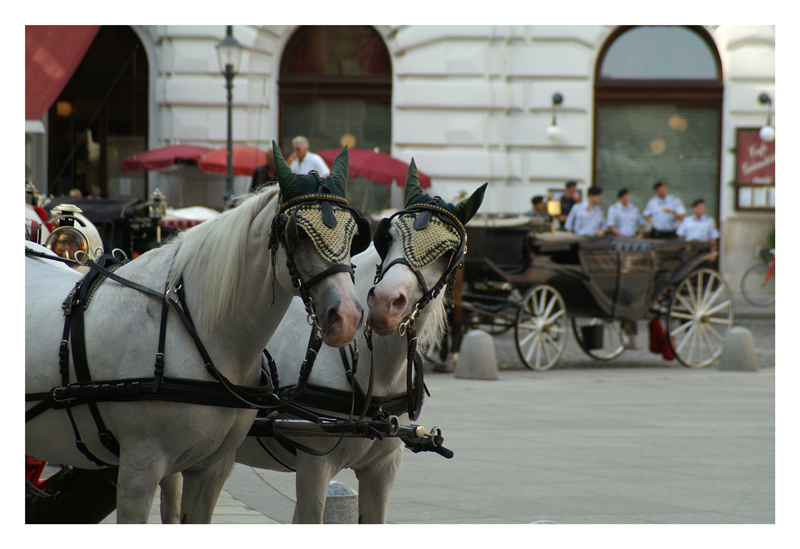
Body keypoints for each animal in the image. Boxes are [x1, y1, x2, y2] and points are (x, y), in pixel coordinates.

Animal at [27, 144, 366, 524]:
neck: (201, 334)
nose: (348, 316)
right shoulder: (139, 468)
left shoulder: (211, 468)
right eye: (297, 234)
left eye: (355, 234)